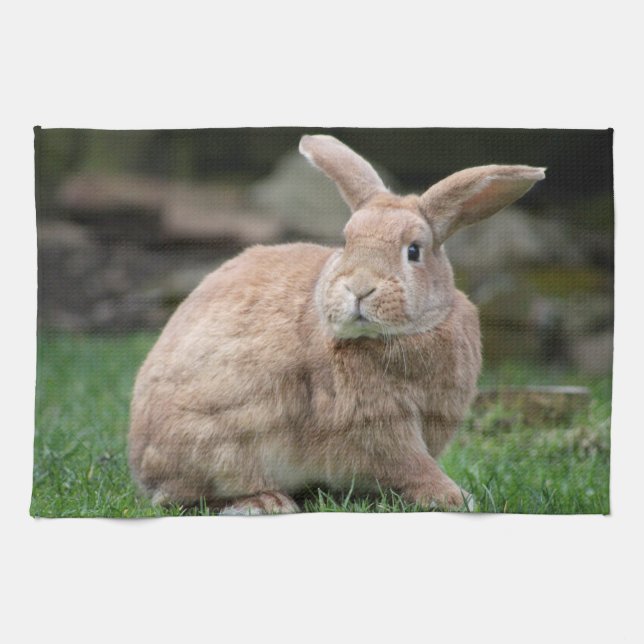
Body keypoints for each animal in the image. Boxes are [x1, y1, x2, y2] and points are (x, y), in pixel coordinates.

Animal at [128, 134, 545, 515]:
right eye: (346, 243)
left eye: (414, 251)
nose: (359, 288)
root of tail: (142, 462)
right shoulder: (378, 426)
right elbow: (411, 464)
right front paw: (453, 497)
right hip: (223, 448)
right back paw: (265, 501)